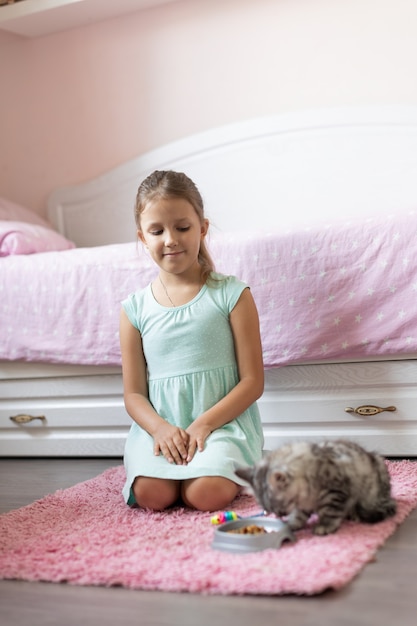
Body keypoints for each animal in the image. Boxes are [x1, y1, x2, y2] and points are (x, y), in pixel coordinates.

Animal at [236, 438, 394, 532]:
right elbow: (299, 515)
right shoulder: (303, 505)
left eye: (280, 508)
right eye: (268, 510)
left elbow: (330, 512)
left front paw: (324, 526)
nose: (279, 516)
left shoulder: (335, 492)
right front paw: (292, 524)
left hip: (372, 494)